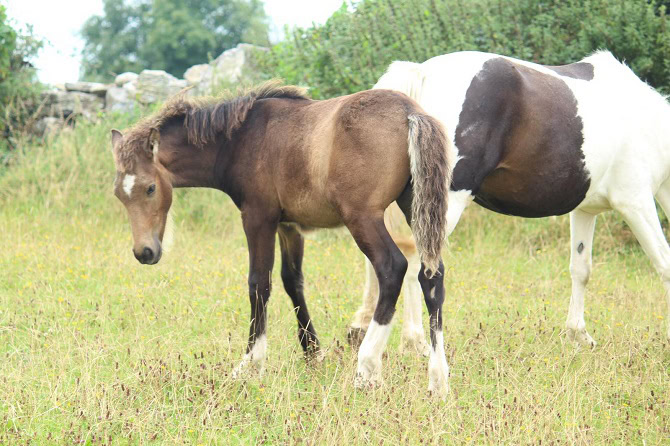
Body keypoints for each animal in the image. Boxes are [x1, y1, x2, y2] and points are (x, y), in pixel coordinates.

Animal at [111, 82, 456, 396]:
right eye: (118, 194)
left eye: (150, 188)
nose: (144, 252)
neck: (240, 140)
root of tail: (410, 112)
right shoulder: (288, 226)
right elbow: (292, 281)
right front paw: (313, 353)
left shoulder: (257, 217)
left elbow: (259, 284)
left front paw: (250, 364)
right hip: (415, 205)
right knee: (431, 274)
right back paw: (438, 380)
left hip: (363, 216)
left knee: (392, 268)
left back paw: (367, 368)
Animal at [350, 49, 670, 376]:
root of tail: (420, 75)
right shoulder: (636, 202)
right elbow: (664, 265)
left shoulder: (585, 210)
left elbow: (581, 270)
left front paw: (578, 335)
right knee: (423, 274)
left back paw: (398, 340)